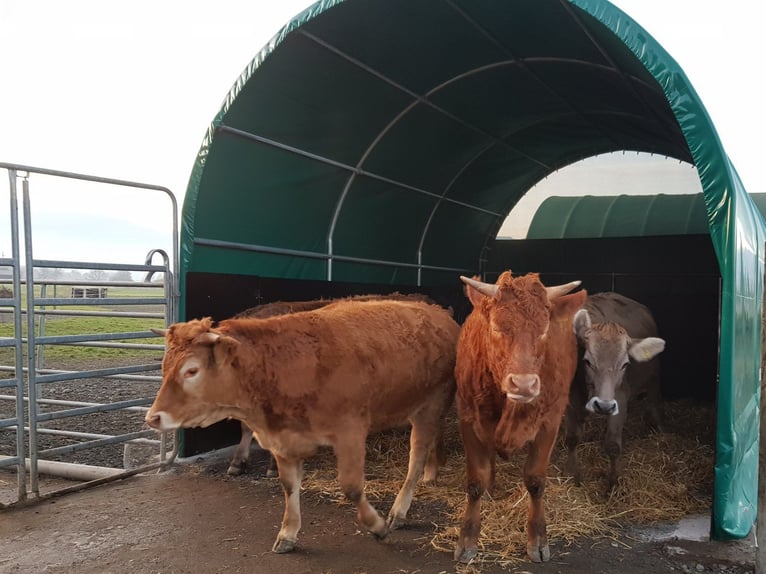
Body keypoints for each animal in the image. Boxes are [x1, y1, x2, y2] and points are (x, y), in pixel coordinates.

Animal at [146, 300, 460, 556]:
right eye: (164, 366)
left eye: (191, 370)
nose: (153, 418)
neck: (288, 365)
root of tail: (440, 313)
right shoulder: (283, 439)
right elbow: (289, 487)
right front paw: (288, 533)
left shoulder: (350, 432)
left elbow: (351, 487)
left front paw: (377, 526)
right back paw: (433, 470)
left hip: (431, 404)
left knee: (416, 457)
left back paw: (400, 508)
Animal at [450, 272, 588, 564]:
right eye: (496, 328)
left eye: (544, 330)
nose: (524, 385)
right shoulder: (467, 417)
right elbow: (475, 481)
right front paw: (467, 539)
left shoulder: (550, 421)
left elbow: (535, 481)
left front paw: (538, 539)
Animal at [564, 294, 664, 492]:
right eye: (587, 361)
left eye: (625, 364)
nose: (603, 405)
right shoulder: (570, 401)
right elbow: (572, 439)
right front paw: (576, 478)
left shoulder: (620, 399)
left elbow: (612, 446)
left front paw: (612, 486)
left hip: (654, 377)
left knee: (652, 403)